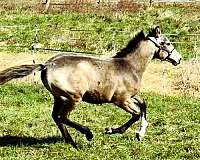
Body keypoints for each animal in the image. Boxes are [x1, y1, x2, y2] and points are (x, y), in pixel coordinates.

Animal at [0, 26, 182, 149]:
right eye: (167, 42)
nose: (179, 59)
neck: (129, 66)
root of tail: (47, 65)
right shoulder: (121, 100)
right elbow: (136, 114)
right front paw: (112, 130)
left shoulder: (132, 96)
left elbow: (143, 105)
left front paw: (140, 133)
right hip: (73, 97)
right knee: (63, 117)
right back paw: (87, 134)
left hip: (59, 98)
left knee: (56, 117)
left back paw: (71, 142)